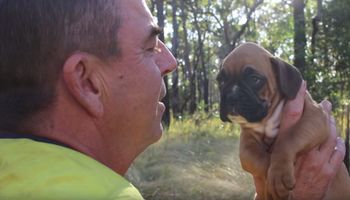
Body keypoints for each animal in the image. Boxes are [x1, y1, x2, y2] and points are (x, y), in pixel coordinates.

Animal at [217, 43, 346, 199]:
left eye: (254, 79)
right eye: (221, 80)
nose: (231, 95)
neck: (267, 119)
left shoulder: (314, 117)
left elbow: (288, 139)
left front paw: (278, 174)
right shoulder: (246, 147)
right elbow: (261, 160)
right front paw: (272, 184)